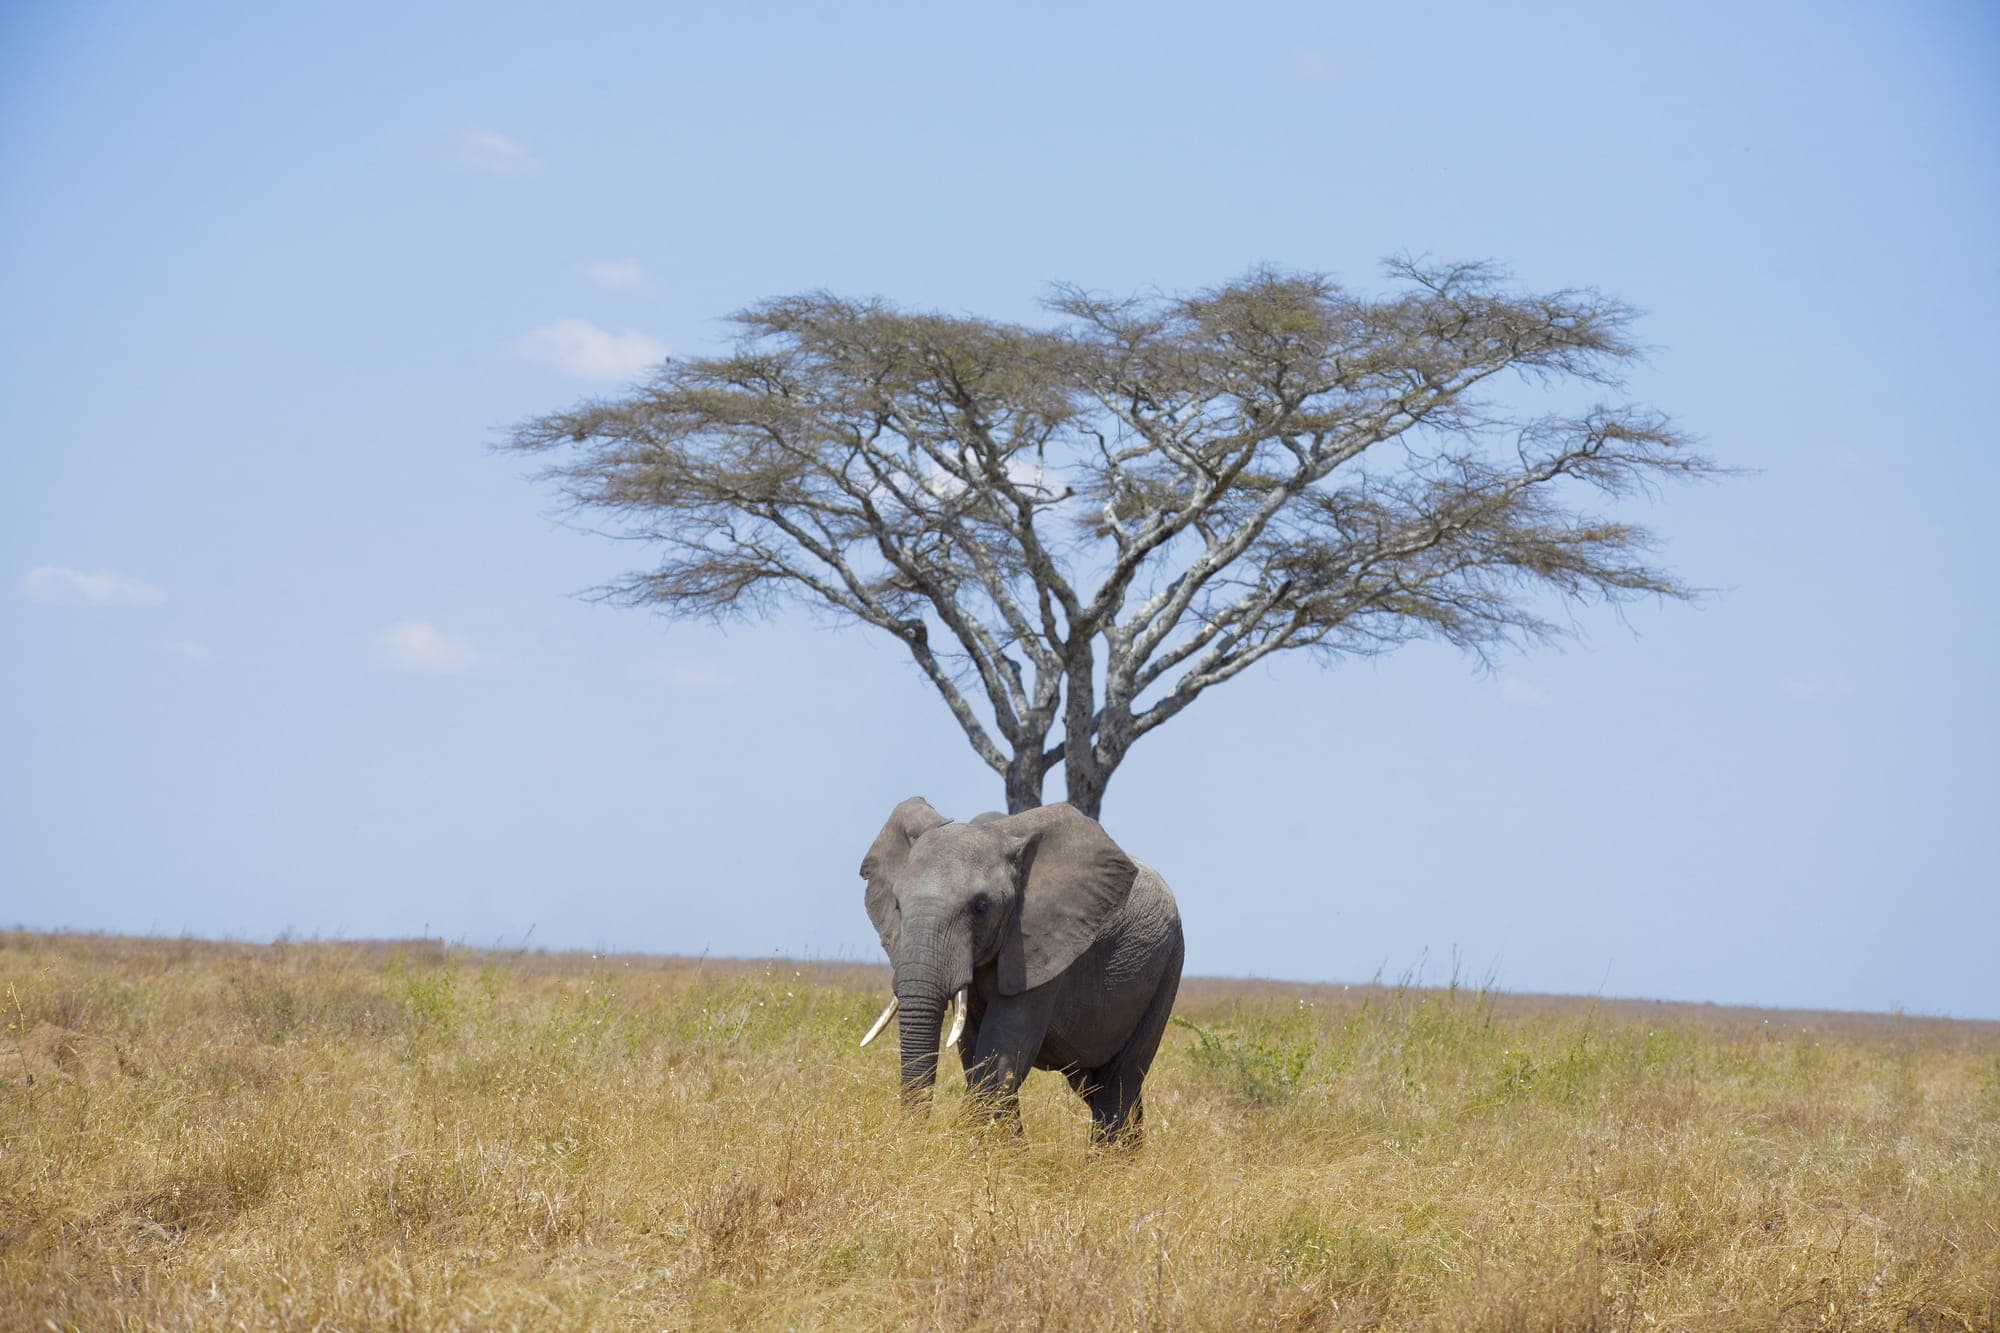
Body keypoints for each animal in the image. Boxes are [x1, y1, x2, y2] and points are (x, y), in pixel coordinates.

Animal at [856, 796, 1184, 1144]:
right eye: (898, 905)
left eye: (981, 907)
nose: (912, 1138)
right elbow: (975, 1051)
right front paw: (1008, 1151)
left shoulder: (1042, 945)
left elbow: (1002, 1052)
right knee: (1097, 1084)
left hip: (1167, 968)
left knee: (1119, 1079)